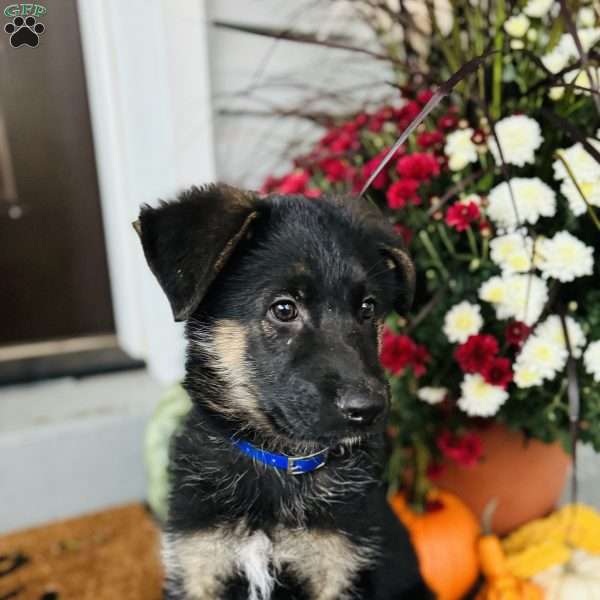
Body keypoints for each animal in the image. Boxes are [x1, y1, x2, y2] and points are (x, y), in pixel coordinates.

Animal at [135, 186, 432, 600]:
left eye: (368, 308)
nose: (370, 409)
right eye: (284, 308)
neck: (278, 461)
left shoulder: (337, 570)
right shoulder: (198, 566)